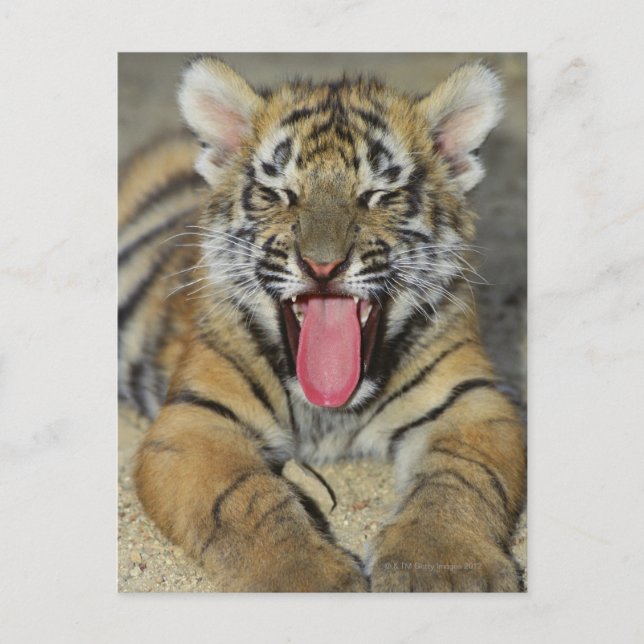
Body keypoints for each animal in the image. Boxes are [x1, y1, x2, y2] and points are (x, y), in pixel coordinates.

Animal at [119, 56, 526, 592]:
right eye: (279, 193)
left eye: (378, 195)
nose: (322, 266)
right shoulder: (196, 419)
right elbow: (244, 499)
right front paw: (307, 577)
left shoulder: (471, 403)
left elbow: (460, 478)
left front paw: (446, 567)